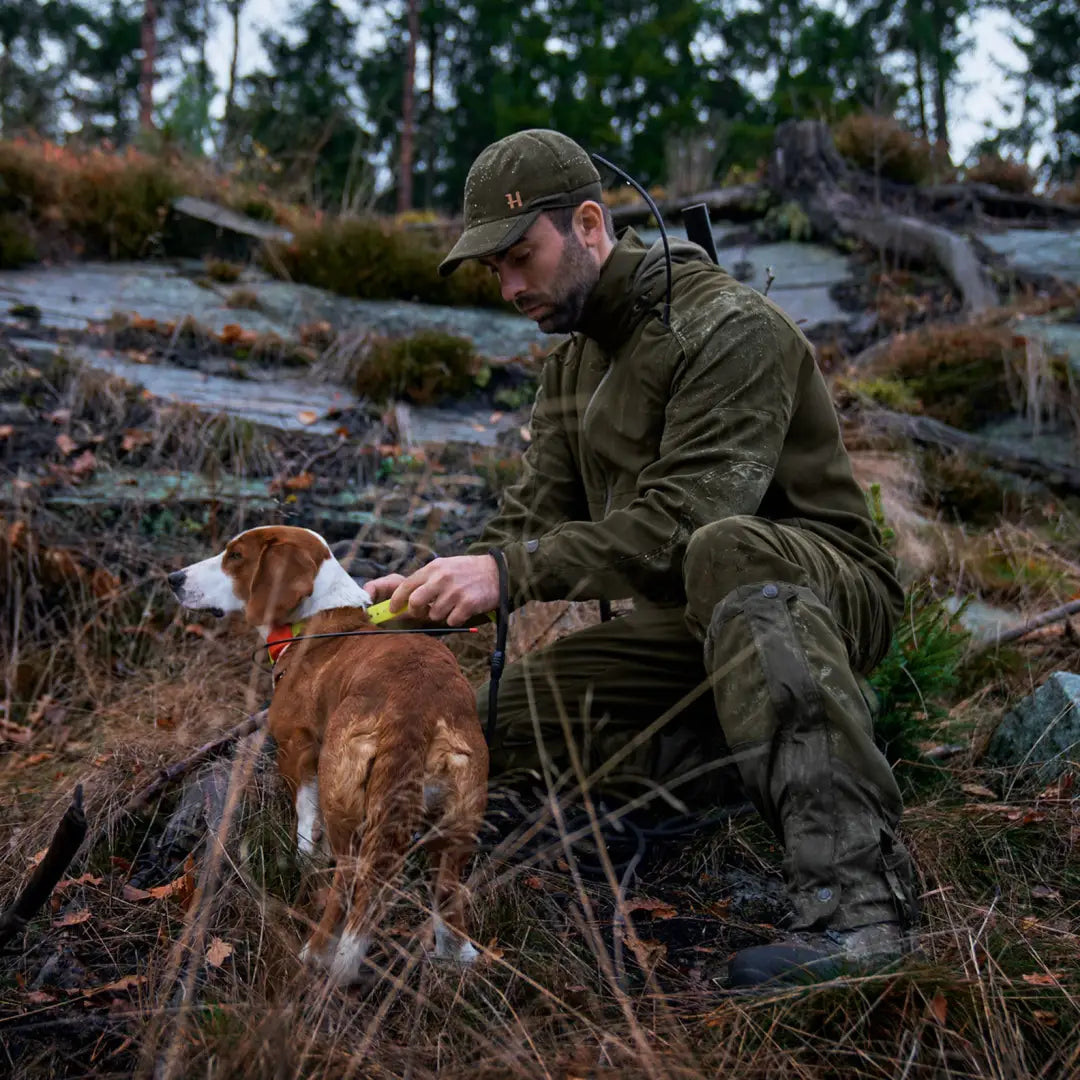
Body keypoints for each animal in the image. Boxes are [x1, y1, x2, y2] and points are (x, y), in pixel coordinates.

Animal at [169, 527, 490, 984]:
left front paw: (304, 860)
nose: (173, 579)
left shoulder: (297, 749)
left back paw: (318, 955)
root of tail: (416, 714)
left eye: (235, 556)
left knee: (346, 883)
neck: (317, 616)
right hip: (459, 821)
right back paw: (455, 959)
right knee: (447, 895)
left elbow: (306, 823)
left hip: (345, 798)